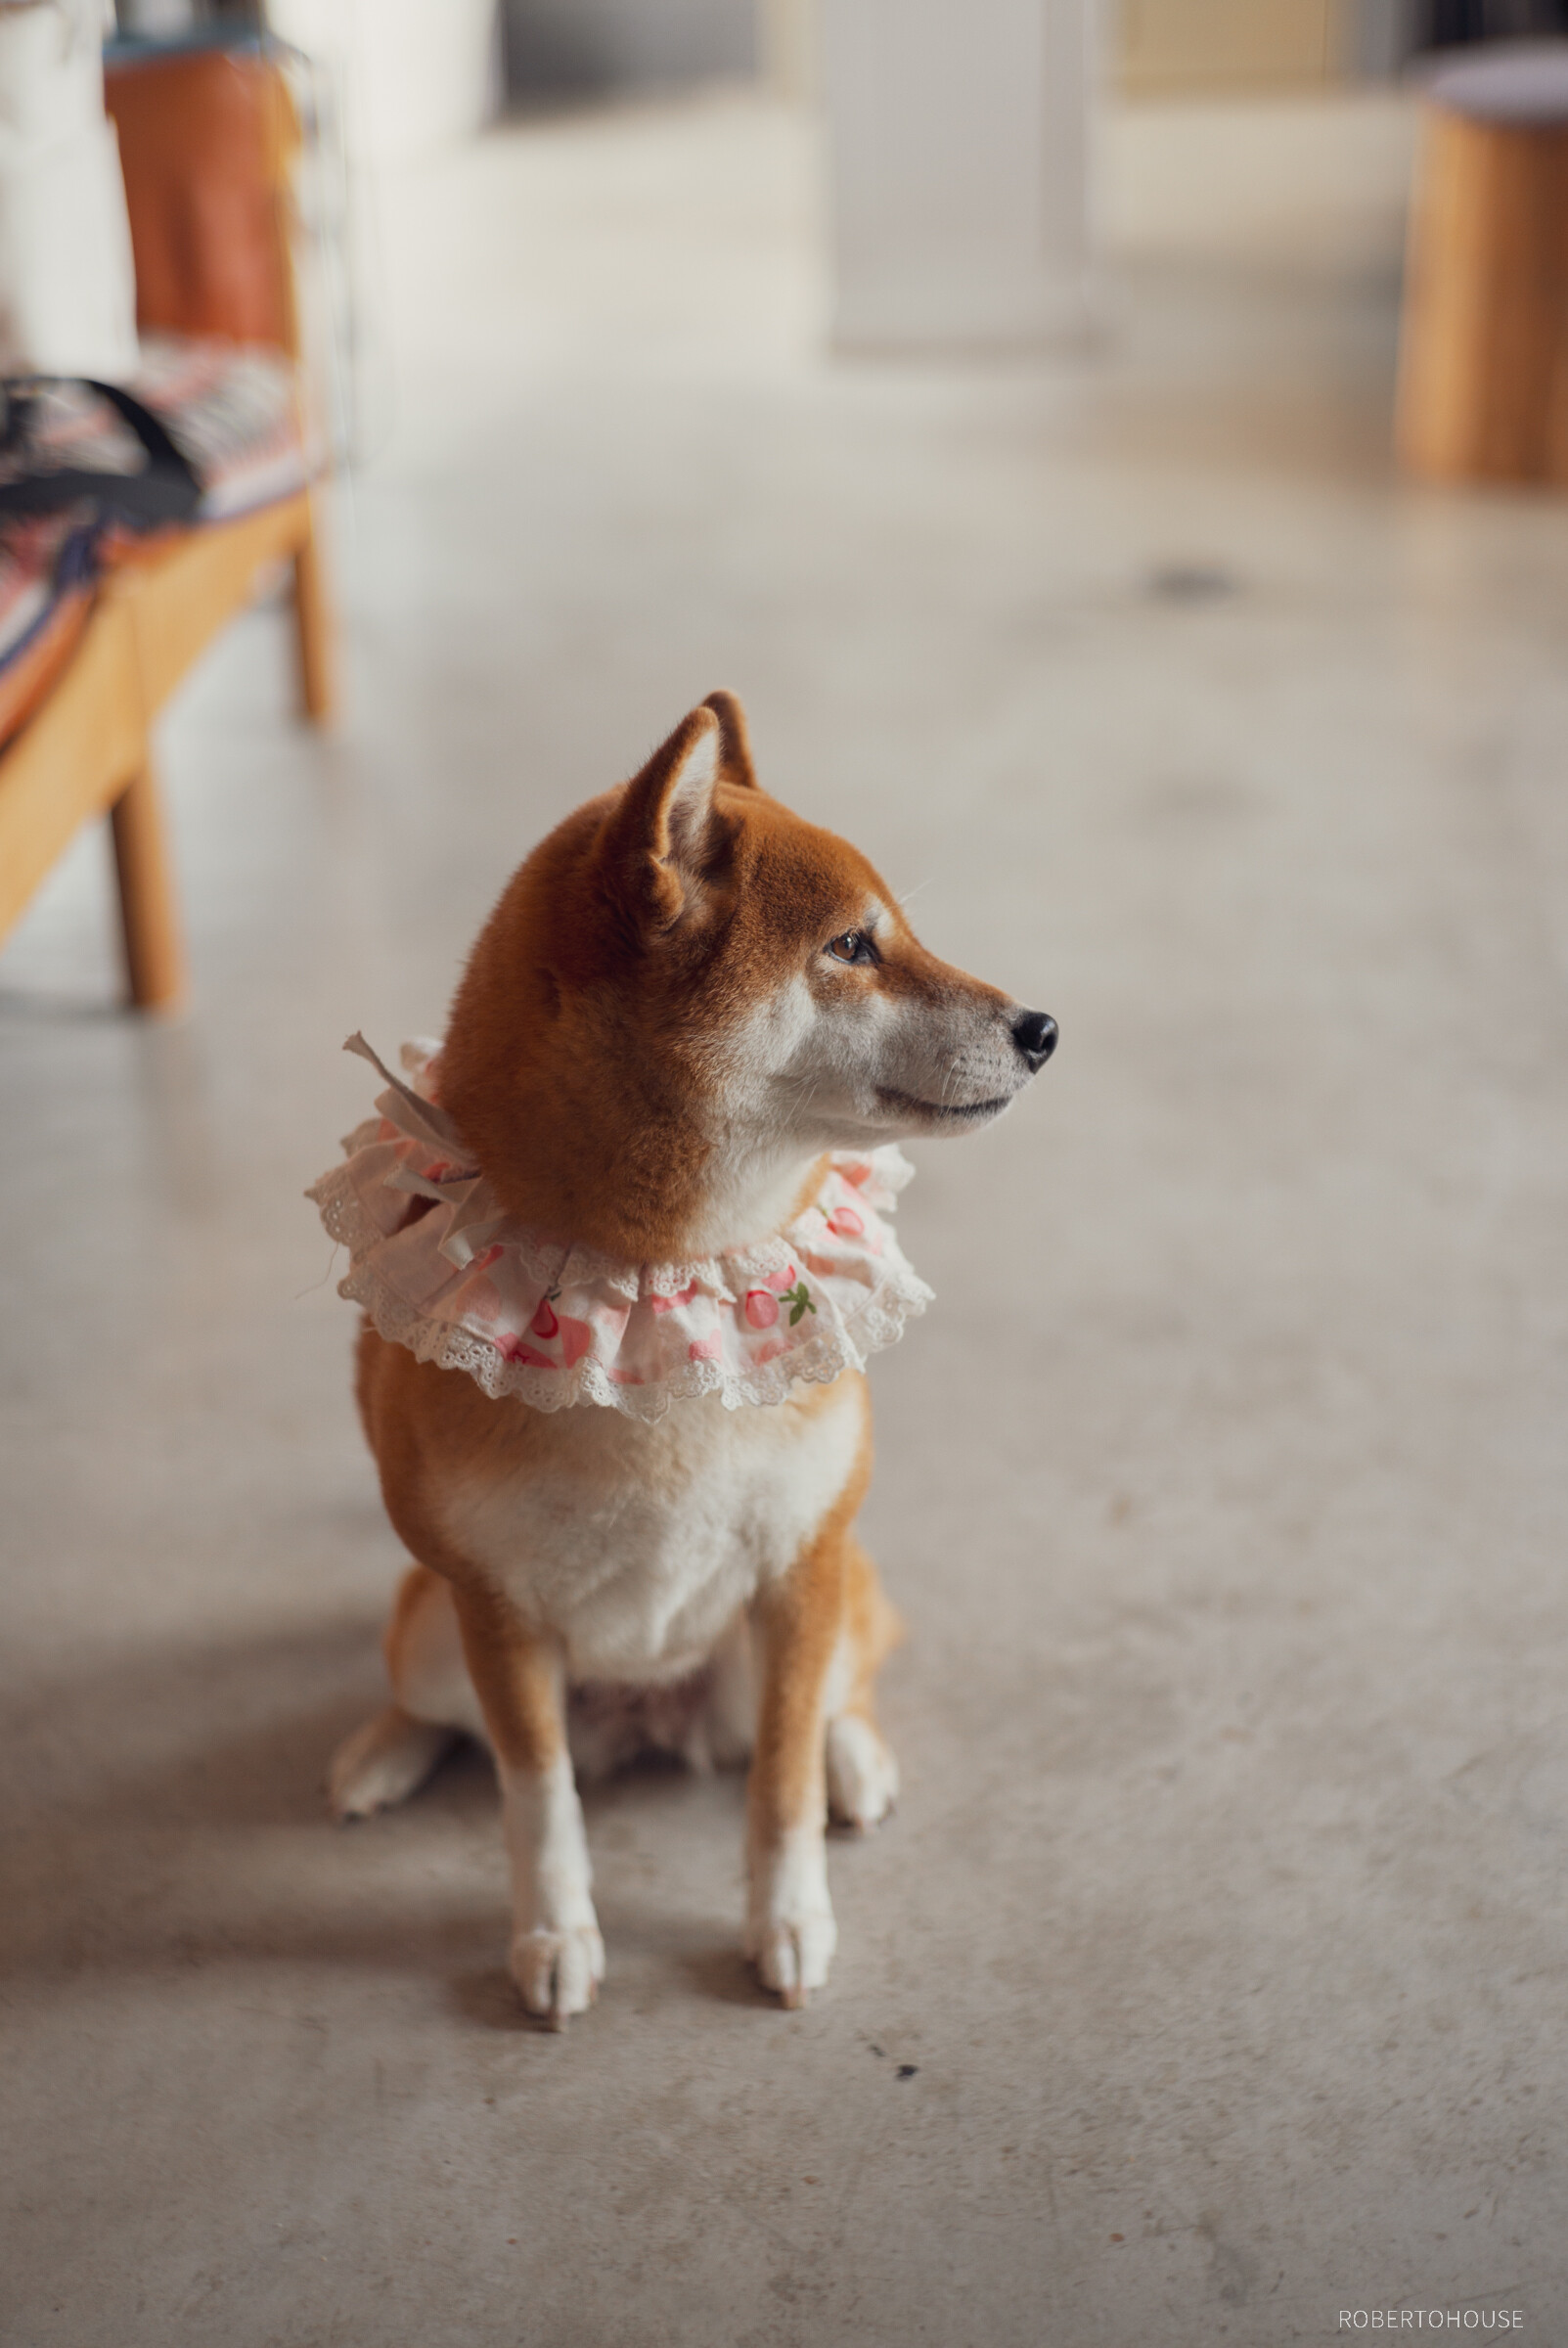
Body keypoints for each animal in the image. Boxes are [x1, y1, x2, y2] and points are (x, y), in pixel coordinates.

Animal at [316, 692, 1055, 2024]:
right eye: (850, 947)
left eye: (900, 933)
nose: (1045, 1028)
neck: (650, 1276)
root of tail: (647, 1711)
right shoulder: (496, 1616)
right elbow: (534, 1797)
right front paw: (553, 1936)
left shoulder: (800, 1570)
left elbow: (778, 1788)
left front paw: (789, 1921)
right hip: (433, 1633)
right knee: (433, 1704)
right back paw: (380, 1753)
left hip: (811, 1606)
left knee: (846, 1683)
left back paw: (855, 1760)